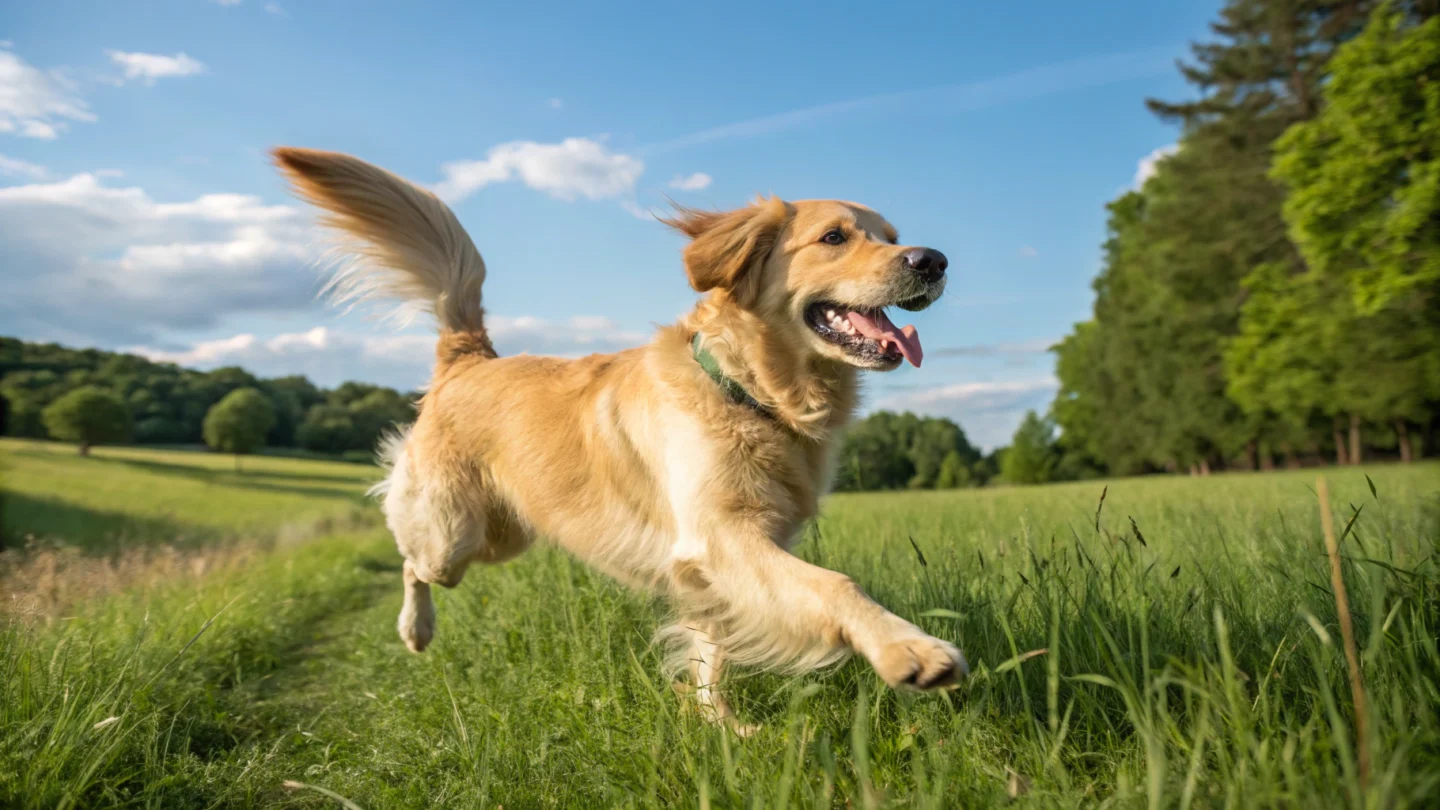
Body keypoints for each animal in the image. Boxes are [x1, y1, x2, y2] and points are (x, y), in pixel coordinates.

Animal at [270, 148, 967, 729]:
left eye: (893, 237)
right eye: (834, 237)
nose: (933, 261)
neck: (750, 393)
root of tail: (469, 357)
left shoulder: (721, 560)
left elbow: (712, 648)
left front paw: (721, 727)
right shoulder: (721, 536)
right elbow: (835, 585)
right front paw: (908, 648)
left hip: (504, 534)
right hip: (453, 535)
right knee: (411, 558)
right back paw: (415, 629)